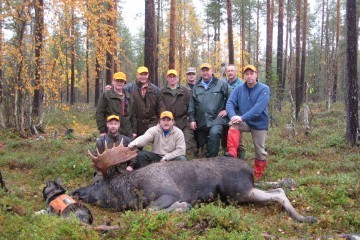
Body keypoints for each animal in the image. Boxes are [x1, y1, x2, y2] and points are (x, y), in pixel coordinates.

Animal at [71, 141, 316, 223]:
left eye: (96, 183)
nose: (75, 192)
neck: (130, 193)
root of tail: (250, 170)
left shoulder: (167, 193)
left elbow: (150, 210)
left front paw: (183, 206)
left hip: (238, 191)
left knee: (279, 192)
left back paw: (304, 217)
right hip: (243, 190)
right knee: (277, 187)